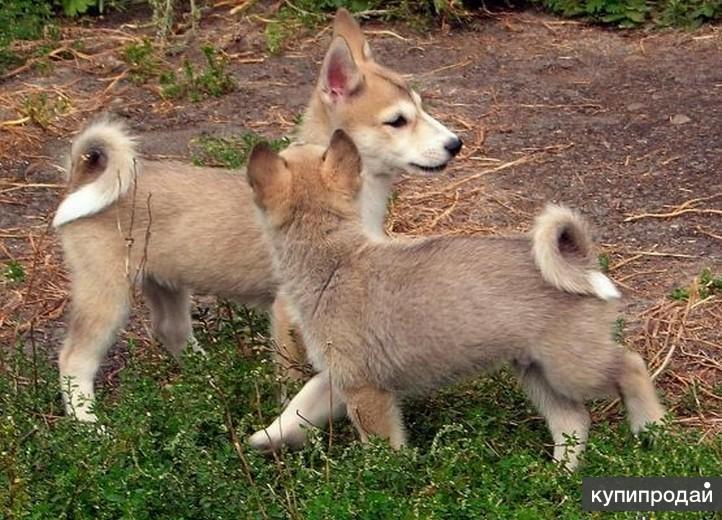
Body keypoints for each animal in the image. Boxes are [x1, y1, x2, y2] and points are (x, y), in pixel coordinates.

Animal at [57, 9, 462, 422]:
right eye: (397, 121)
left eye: (422, 107)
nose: (455, 144)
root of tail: (82, 177)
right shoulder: (286, 312)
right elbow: (293, 375)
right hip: (106, 295)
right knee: (74, 361)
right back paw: (90, 425)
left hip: (165, 283)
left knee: (171, 331)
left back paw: (210, 382)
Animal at [248, 131, 664, 472]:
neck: (335, 259)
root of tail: (580, 260)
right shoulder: (340, 380)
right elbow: (299, 406)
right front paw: (267, 438)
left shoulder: (365, 392)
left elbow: (382, 449)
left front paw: (386, 479)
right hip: (538, 374)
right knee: (572, 423)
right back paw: (559, 477)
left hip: (573, 368)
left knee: (631, 366)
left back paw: (651, 428)